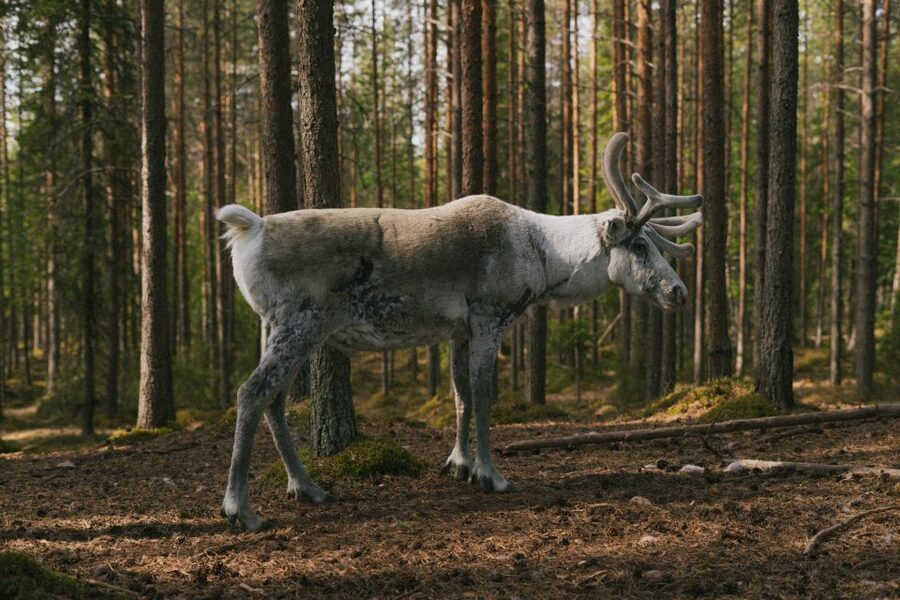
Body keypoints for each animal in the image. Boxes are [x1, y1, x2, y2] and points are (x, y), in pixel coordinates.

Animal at [216, 132, 702, 531]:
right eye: (639, 245)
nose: (679, 292)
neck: (545, 257)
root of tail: (250, 230)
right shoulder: (491, 315)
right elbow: (484, 395)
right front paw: (492, 475)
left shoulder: (458, 329)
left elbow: (460, 395)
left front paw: (460, 464)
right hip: (299, 323)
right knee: (251, 392)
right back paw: (241, 508)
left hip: (281, 328)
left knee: (274, 400)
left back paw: (307, 488)